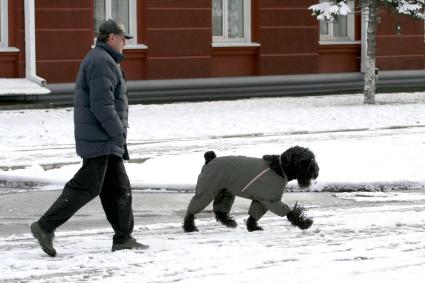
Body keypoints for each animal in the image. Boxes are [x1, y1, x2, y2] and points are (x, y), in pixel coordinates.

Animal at [182, 146, 318, 233]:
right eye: (306, 160)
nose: (316, 169)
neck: (279, 168)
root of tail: (210, 159)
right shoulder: (271, 201)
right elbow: (290, 212)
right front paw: (304, 223)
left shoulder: (261, 200)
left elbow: (254, 214)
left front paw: (253, 228)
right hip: (207, 191)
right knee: (191, 210)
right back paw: (189, 227)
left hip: (224, 192)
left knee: (220, 211)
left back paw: (230, 222)